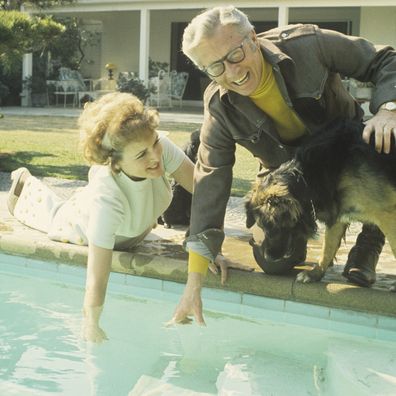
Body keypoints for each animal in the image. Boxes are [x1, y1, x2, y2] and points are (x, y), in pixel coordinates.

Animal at [244, 119, 396, 284]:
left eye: (272, 226)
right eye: (261, 226)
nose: (269, 258)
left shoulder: (388, 215)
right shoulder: (337, 212)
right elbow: (327, 248)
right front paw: (315, 273)